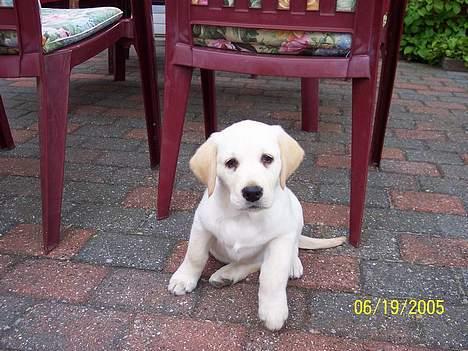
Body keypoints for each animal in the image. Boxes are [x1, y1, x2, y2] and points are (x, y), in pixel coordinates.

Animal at [167, 120, 344, 330]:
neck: (244, 216)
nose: (252, 192)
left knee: (287, 249)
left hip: (296, 210)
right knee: (253, 262)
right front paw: (184, 278)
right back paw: (226, 274)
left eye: (267, 159)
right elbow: (195, 256)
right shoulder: (202, 226)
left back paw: (291, 264)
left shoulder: (280, 239)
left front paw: (273, 309)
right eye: (231, 163)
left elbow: (272, 275)